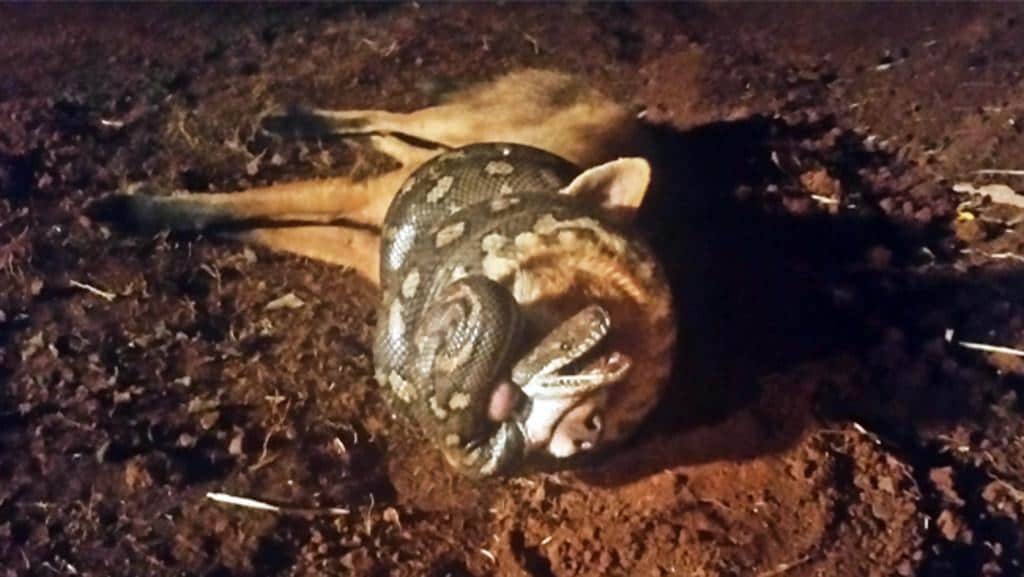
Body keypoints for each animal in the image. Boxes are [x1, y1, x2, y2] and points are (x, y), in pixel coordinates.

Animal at [99, 69, 677, 477]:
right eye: (550, 300)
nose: (588, 428)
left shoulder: (363, 247)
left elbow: (265, 227)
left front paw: (206, 231)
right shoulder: (352, 197)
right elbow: (243, 204)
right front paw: (137, 210)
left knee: (393, 136)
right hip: (451, 124)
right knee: (390, 116)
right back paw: (296, 120)